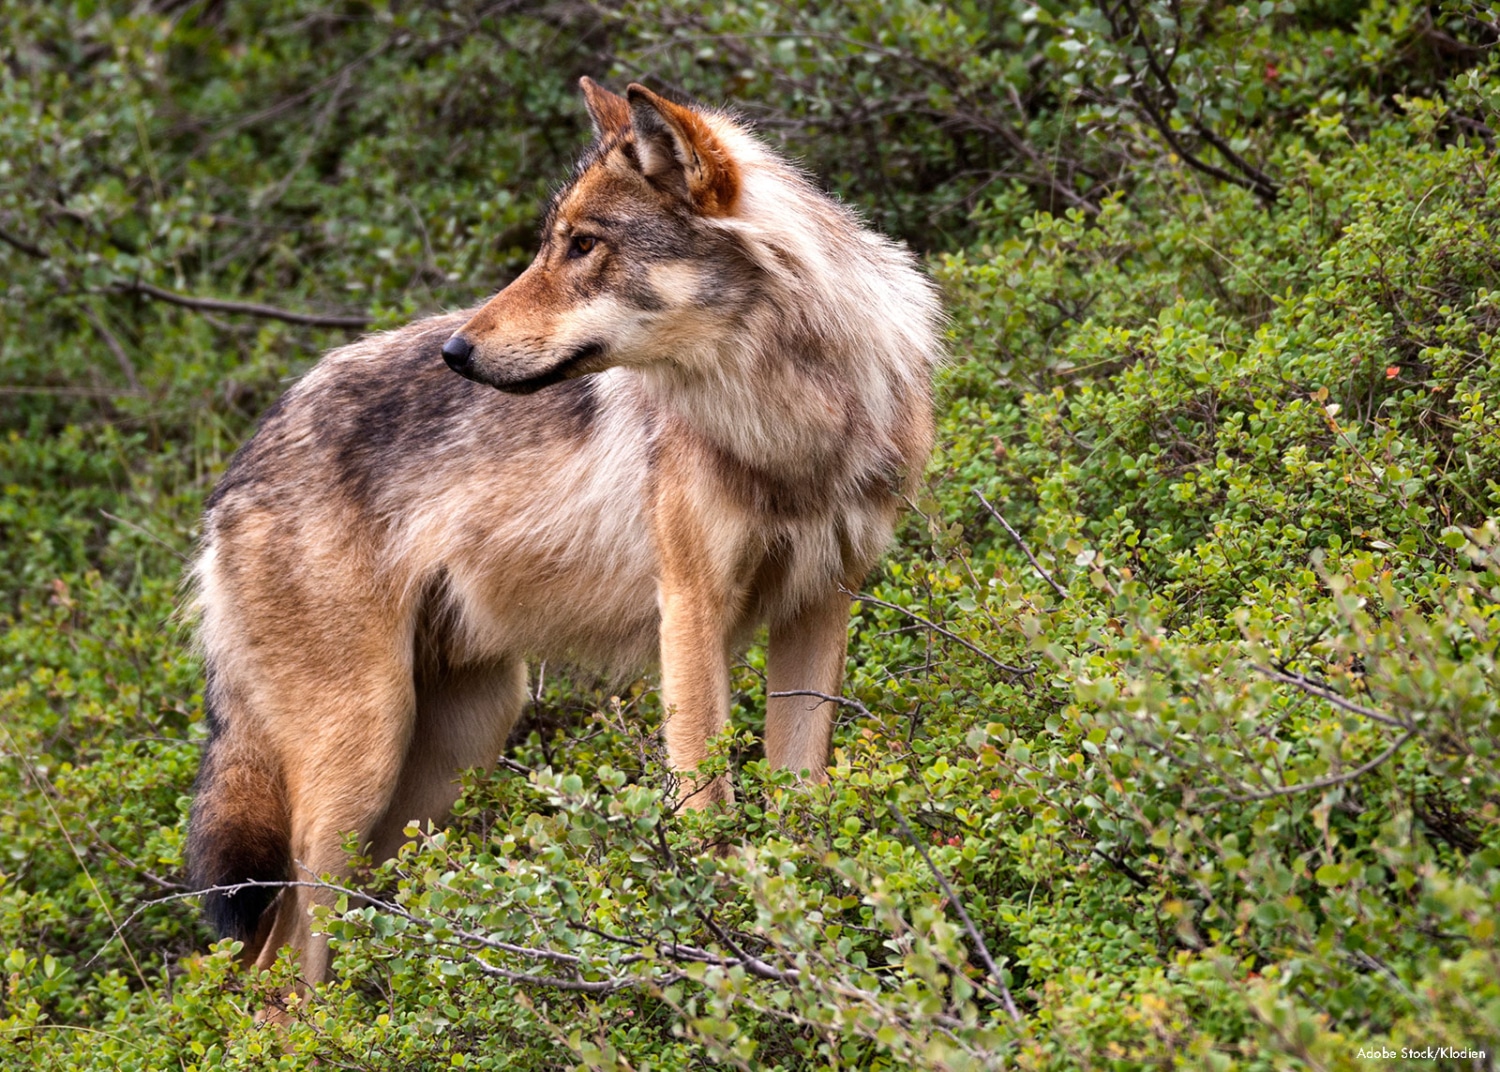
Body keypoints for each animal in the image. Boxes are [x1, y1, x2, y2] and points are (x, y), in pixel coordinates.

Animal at [186, 78, 943, 985]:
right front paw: (726, 945)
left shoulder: (822, 604)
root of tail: (236, 470)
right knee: (276, 965)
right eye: (554, 245)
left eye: (584, 245)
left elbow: (801, 797)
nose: (455, 351)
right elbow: (707, 809)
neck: (790, 416)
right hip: (359, 763)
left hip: (454, 749)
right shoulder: (689, 610)